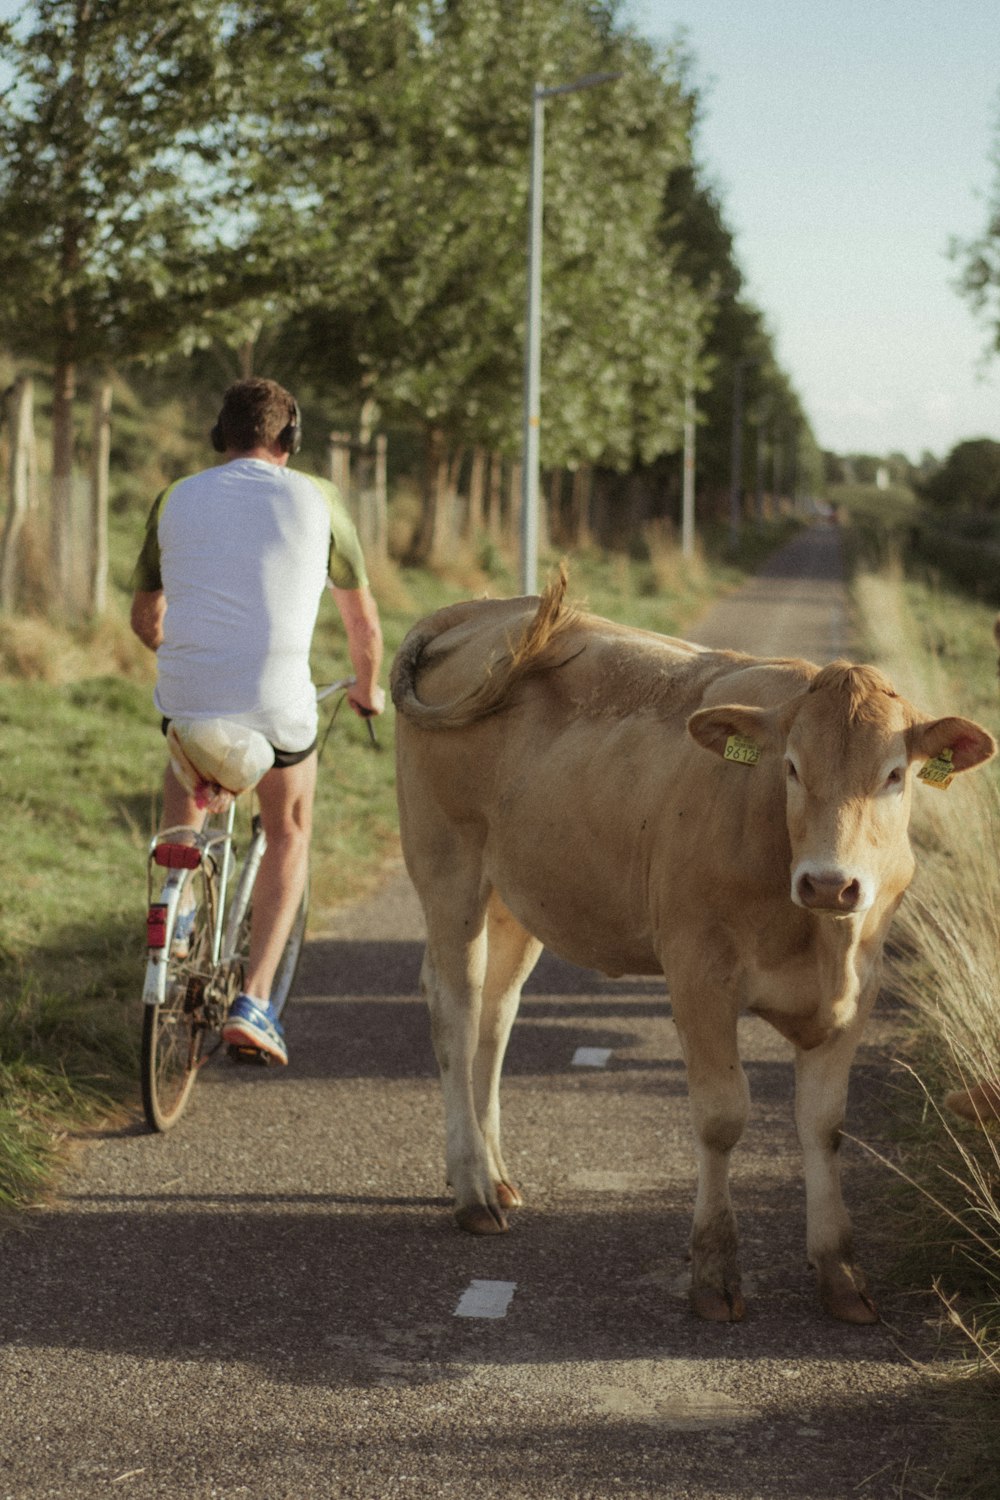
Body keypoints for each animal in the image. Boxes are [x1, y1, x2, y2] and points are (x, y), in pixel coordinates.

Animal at [389, 567, 995, 1320]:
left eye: (895, 775)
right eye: (791, 768)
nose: (830, 883)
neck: (819, 936)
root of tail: (483, 609)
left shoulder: (862, 986)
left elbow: (825, 1125)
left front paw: (841, 1274)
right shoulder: (698, 974)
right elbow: (721, 1118)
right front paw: (714, 1273)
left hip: (518, 896)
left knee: (495, 1018)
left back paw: (497, 1175)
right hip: (450, 871)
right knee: (456, 1010)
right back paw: (472, 1188)